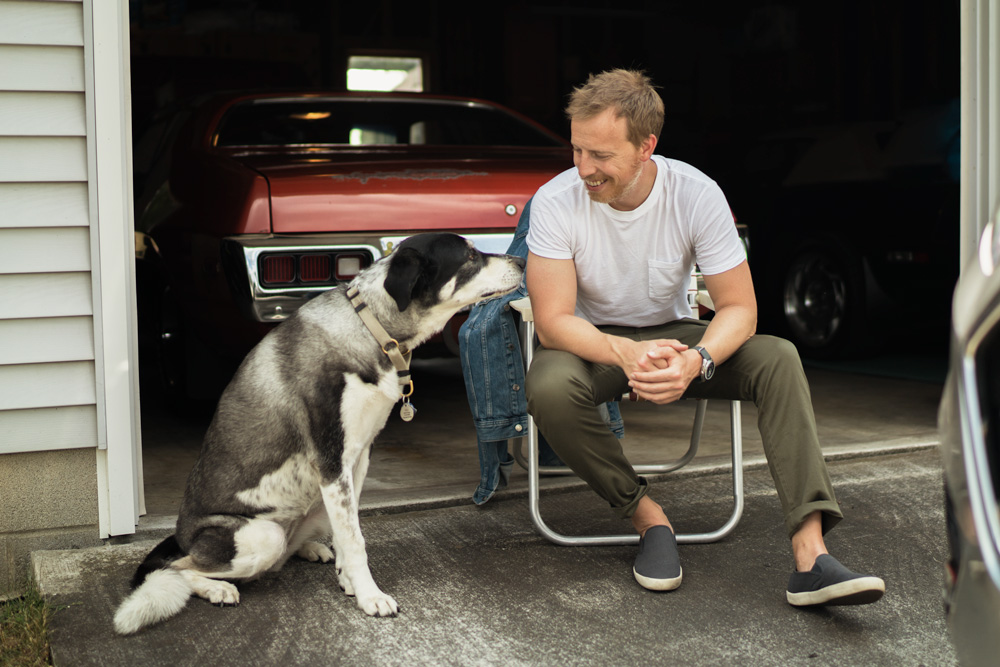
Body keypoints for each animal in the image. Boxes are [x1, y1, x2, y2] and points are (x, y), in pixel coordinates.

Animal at [112, 232, 524, 636]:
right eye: (469, 257)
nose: (522, 261)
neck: (371, 327)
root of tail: (181, 535)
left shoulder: (357, 460)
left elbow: (349, 533)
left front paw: (349, 581)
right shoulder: (331, 462)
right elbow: (356, 540)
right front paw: (371, 596)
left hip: (313, 509)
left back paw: (310, 549)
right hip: (261, 536)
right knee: (176, 568)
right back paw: (217, 588)